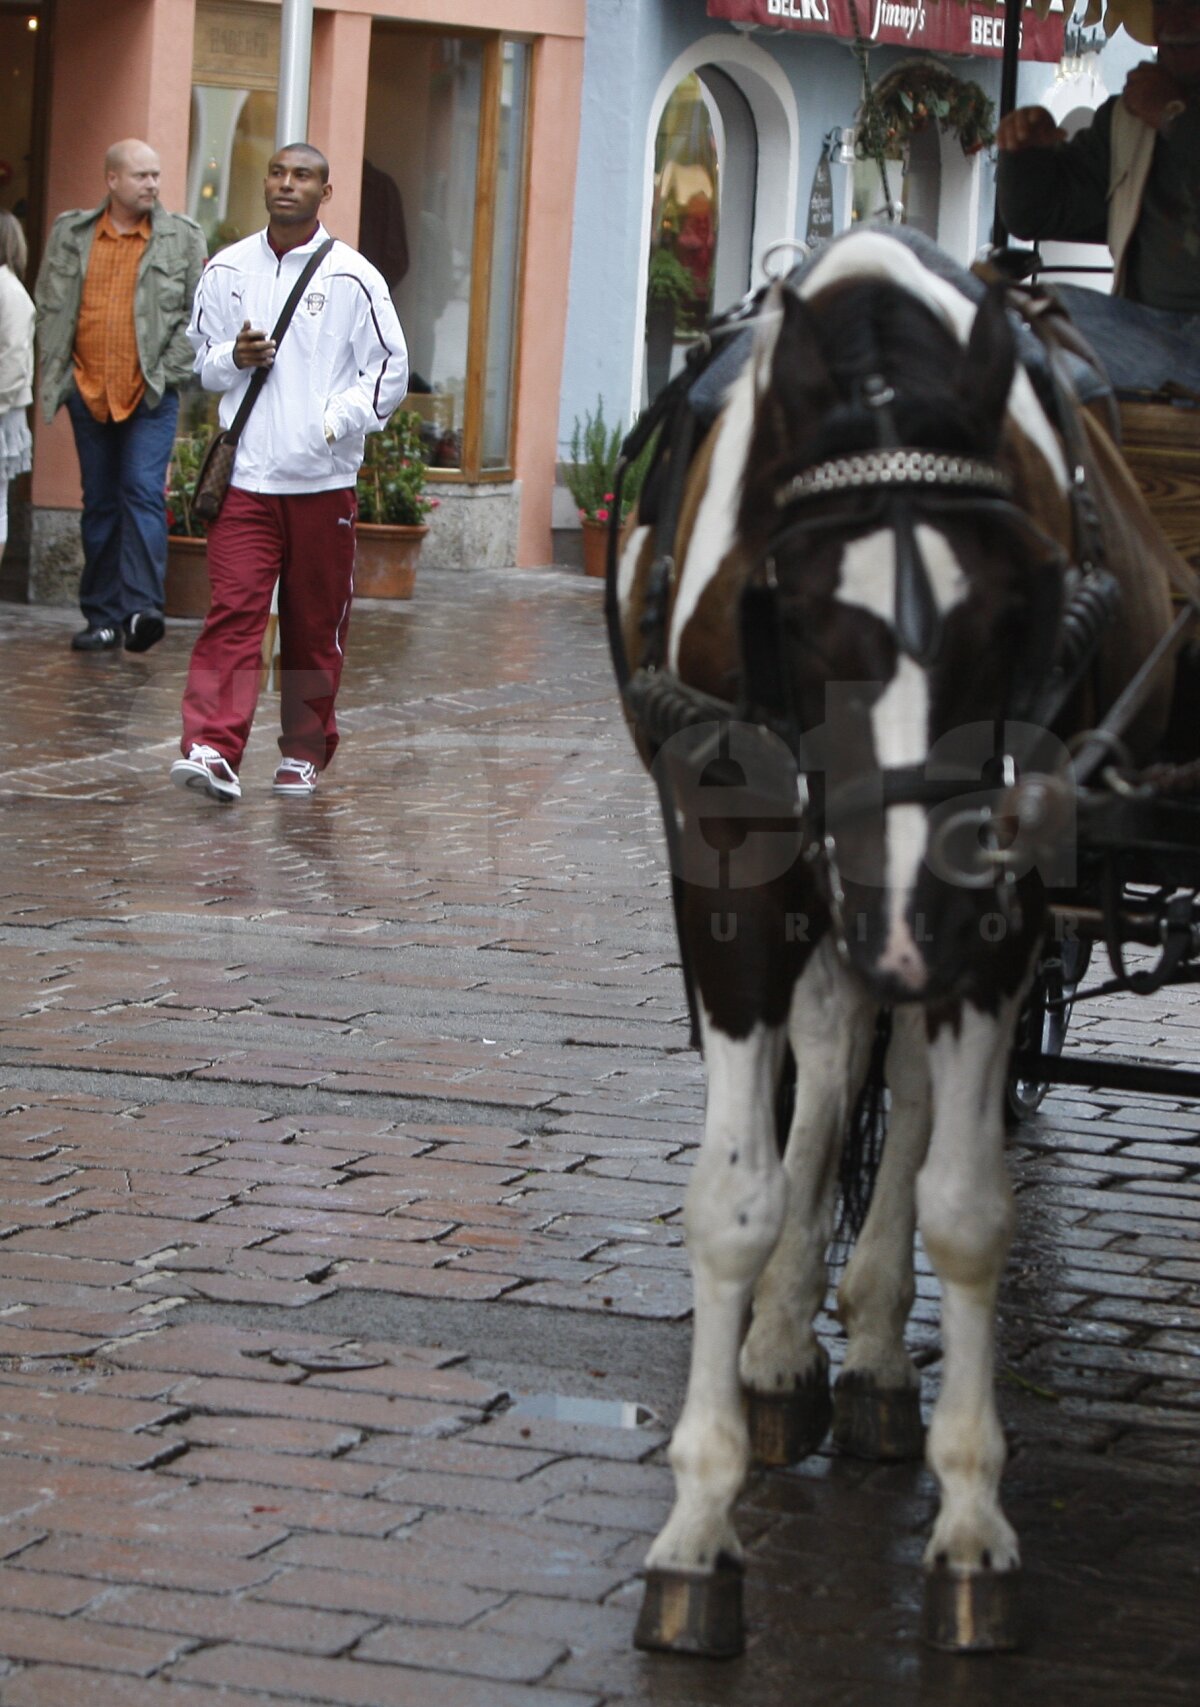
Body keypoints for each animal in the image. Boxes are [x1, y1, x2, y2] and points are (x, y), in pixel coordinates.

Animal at [614, 227, 1181, 1652]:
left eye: (1007, 618)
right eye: (807, 618)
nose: (916, 909)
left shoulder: (1006, 895)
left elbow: (968, 1208)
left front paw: (973, 1523)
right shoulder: (735, 876)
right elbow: (735, 1199)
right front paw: (697, 1528)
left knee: (907, 1092)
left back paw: (866, 1348)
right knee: (830, 1065)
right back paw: (780, 1354)